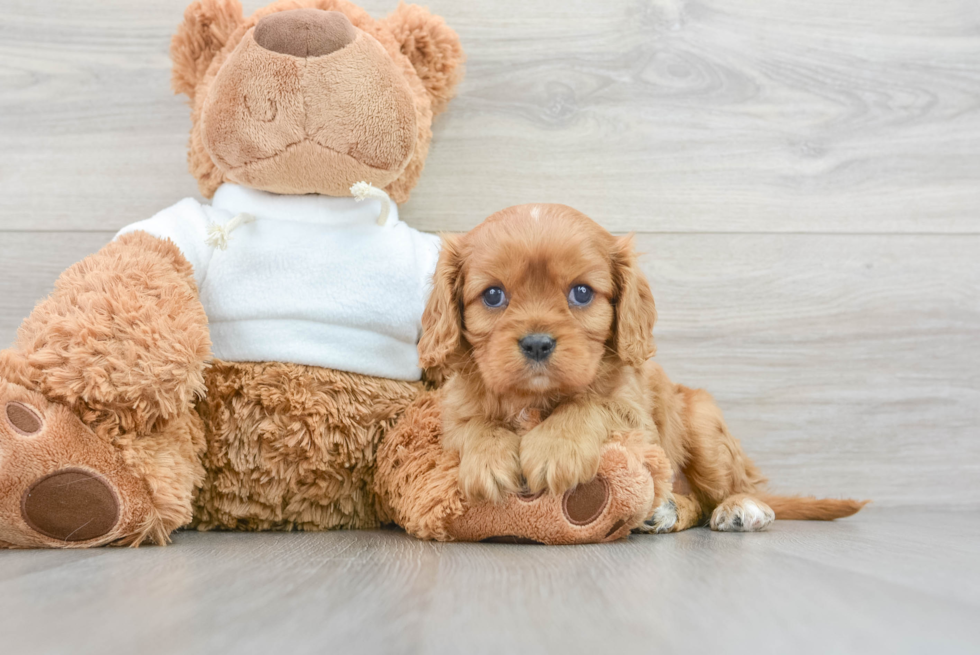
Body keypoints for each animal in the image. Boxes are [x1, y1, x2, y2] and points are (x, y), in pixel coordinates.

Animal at [422, 205, 864, 532]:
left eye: (581, 293)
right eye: (493, 296)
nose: (536, 343)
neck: (536, 397)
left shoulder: (635, 417)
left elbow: (591, 405)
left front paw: (555, 448)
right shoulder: (454, 409)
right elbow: (474, 425)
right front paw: (489, 461)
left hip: (703, 423)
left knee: (722, 493)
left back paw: (741, 508)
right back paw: (664, 511)